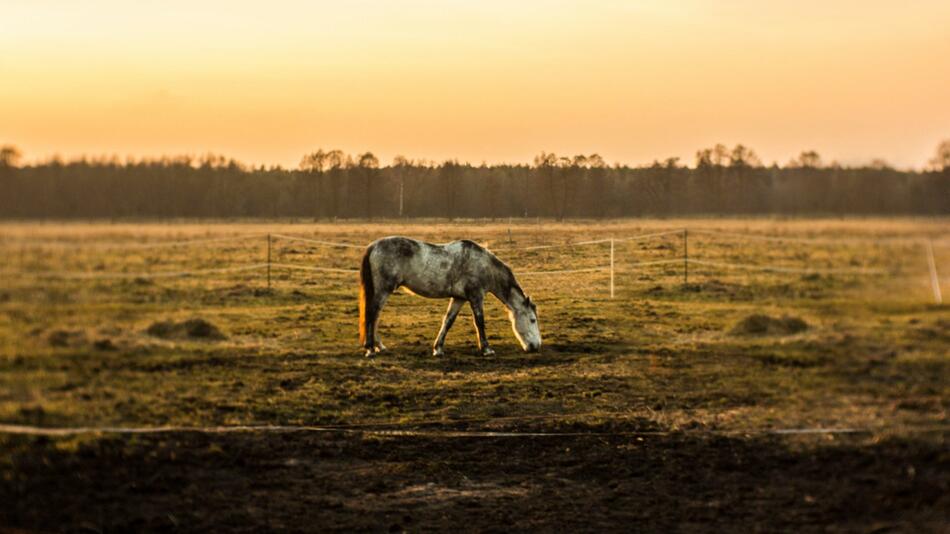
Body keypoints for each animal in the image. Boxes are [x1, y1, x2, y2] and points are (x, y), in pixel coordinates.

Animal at [358, 237, 544, 358]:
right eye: (533, 320)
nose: (536, 347)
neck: (483, 265)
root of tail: (373, 246)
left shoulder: (459, 298)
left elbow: (448, 321)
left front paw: (438, 349)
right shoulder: (476, 296)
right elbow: (480, 322)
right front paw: (486, 349)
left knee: (375, 316)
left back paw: (379, 346)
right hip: (383, 290)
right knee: (372, 314)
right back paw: (370, 349)